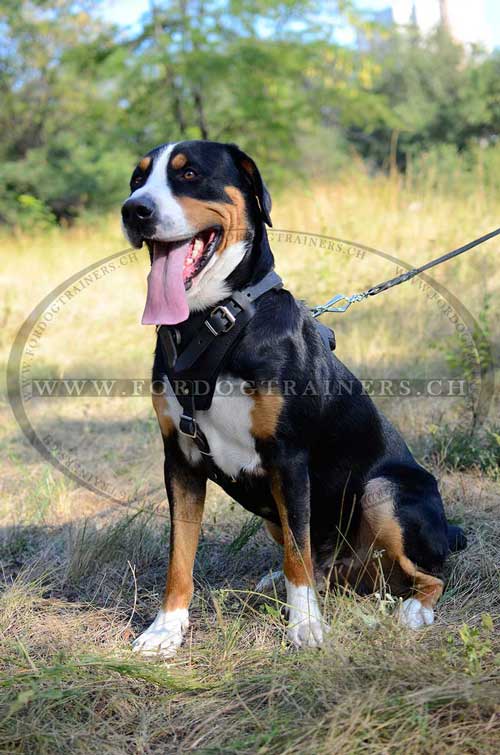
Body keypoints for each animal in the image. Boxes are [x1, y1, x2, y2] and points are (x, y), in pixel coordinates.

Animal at [123, 140, 466, 656]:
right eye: (137, 180)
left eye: (190, 174)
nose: (134, 210)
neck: (212, 324)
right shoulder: (180, 460)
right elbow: (180, 556)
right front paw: (166, 630)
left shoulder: (288, 458)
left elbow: (297, 560)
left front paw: (305, 626)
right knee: (316, 562)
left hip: (382, 492)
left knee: (427, 576)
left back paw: (414, 610)